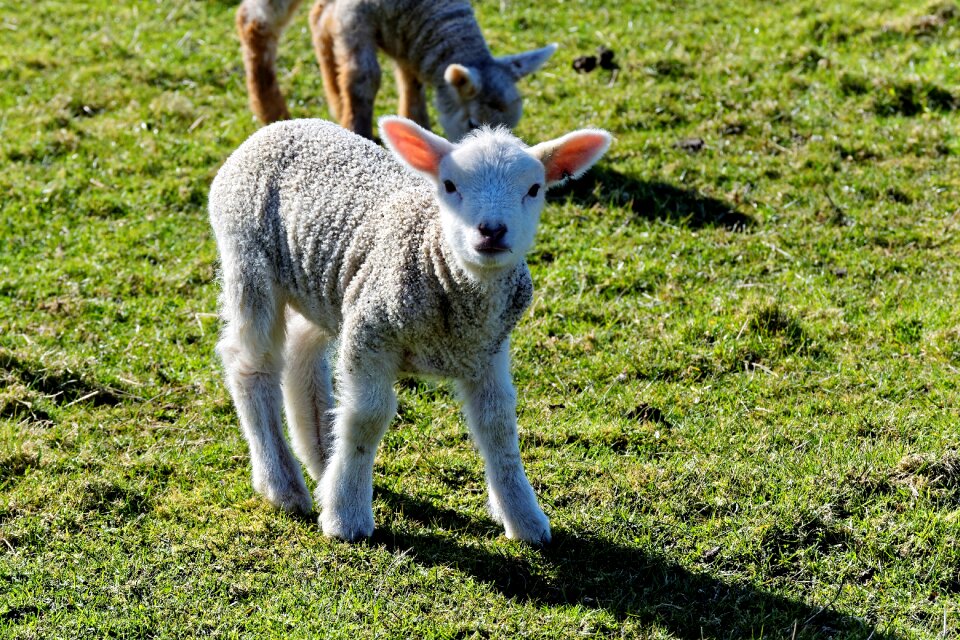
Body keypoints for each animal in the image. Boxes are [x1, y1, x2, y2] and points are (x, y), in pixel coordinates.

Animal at [209, 117, 612, 544]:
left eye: (534, 188)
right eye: (449, 185)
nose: (491, 230)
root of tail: (280, 127)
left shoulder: (487, 348)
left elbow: (498, 424)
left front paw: (525, 518)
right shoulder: (370, 331)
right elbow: (367, 416)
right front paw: (346, 516)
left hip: (330, 290)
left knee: (302, 352)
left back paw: (321, 458)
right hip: (248, 260)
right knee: (251, 366)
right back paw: (283, 484)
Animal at [235, 0, 560, 140]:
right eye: (471, 123)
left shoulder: (407, 32)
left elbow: (411, 76)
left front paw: (416, 124)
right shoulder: (357, 15)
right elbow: (364, 77)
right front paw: (358, 131)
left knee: (318, 17)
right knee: (255, 19)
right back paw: (271, 110)